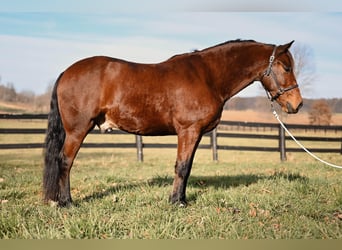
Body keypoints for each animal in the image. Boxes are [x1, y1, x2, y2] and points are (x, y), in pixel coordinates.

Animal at [42, 39, 302, 207]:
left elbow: (187, 167)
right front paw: (177, 202)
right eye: (286, 67)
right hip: (77, 130)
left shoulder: (196, 133)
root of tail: (67, 72)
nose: (297, 104)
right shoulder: (188, 130)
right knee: (65, 161)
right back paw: (67, 203)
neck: (207, 76)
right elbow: (182, 167)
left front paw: (181, 198)